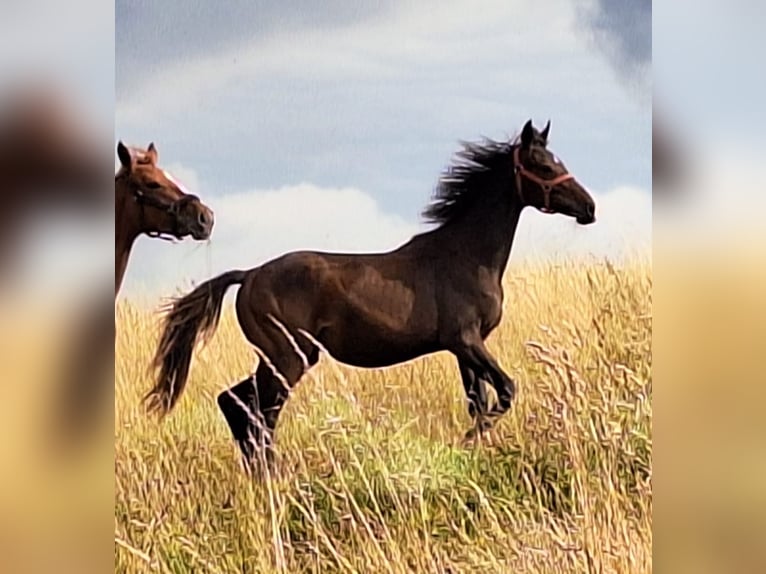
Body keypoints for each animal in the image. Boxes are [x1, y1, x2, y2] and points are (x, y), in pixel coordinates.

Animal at [145, 119, 597, 474]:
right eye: (543, 165)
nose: (589, 207)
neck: (466, 256)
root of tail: (249, 275)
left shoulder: (463, 349)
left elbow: (479, 403)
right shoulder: (466, 340)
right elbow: (504, 393)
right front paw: (465, 444)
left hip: (277, 359)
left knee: (236, 403)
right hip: (289, 359)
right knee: (258, 413)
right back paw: (272, 475)